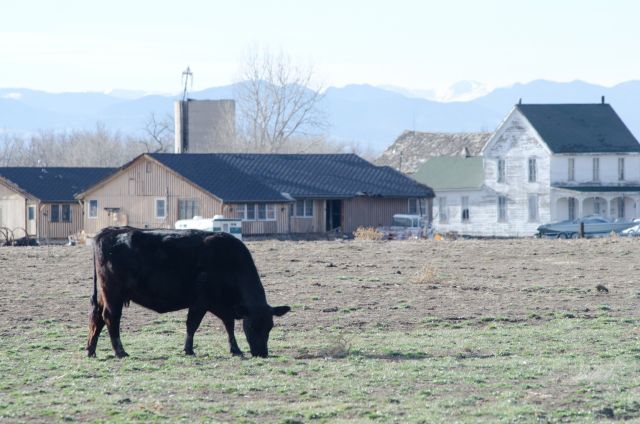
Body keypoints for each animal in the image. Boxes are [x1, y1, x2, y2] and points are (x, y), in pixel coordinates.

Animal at [86, 225, 292, 358]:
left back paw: (91, 350)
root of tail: (109, 231)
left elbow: (229, 325)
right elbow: (192, 325)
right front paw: (189, 350)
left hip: (105, 295)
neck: (230, 263)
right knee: (110, 318)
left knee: (96, 318)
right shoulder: (201, 302)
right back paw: (120, 351)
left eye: (270, 326)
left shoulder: (223, 305)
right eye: (253, 326)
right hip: (113, 294)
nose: (262, 354)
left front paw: (235, 349)